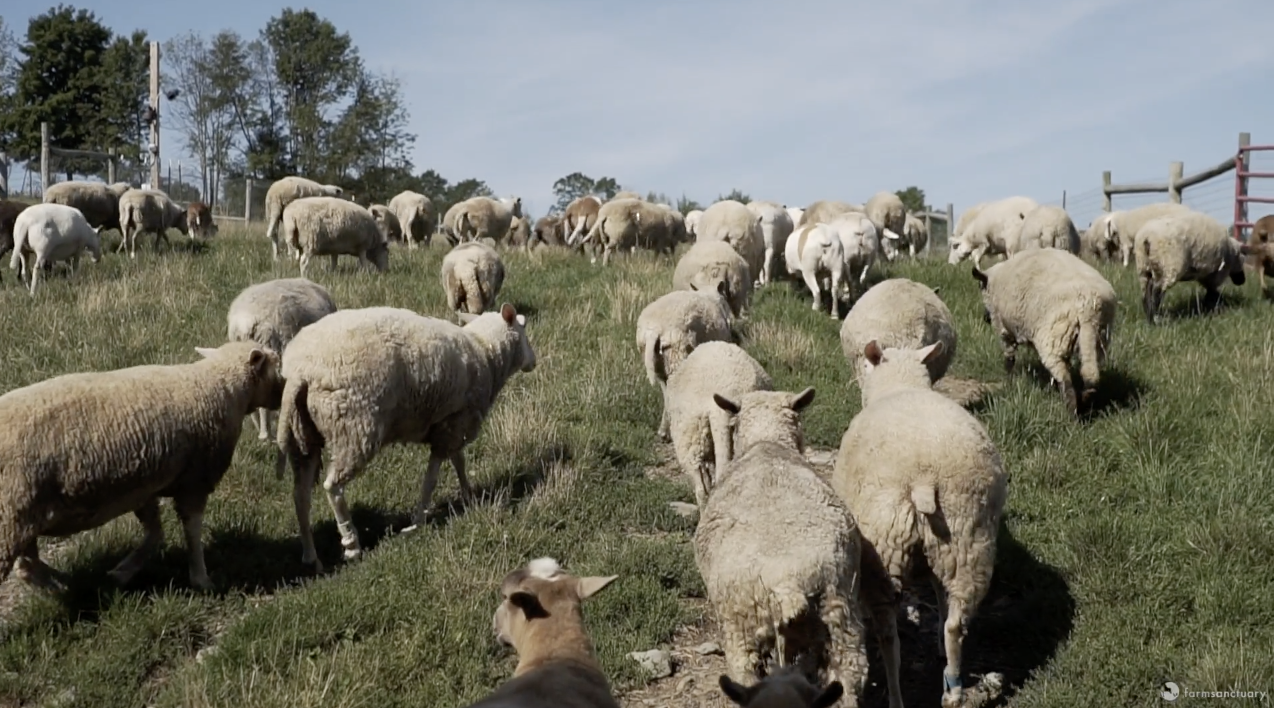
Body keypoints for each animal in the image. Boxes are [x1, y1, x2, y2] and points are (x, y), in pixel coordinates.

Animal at [0, 341, 283, 592]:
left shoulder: (145, 484)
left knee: (26, 567)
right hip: (9, 517)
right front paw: (201, 579)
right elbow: (192, 533)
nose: (283, 393)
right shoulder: (195, 479)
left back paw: (68, 585)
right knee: (25, 567)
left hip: (23, 515)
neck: (218, 385)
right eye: (276, 364)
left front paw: (122, 572)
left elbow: (155, 534)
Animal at [275, 304, 535, 567]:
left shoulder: (451, 424)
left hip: (303, 435)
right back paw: (351, 544)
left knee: (300, 496)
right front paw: (418, 521)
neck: (485, 352)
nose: (533, 362)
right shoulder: (455, 425)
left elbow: (458, 462)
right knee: (333, 487)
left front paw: (469, 496)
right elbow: (432, 478)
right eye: (524, 329)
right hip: (353, 428)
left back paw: (311, 556)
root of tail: (299, 372)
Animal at [695, 386, 870, 702]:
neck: (767, 441)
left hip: (741, 626)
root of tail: (785, 583)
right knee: (851, 677)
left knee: (744, 673)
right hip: (841, 614)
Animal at [832, 340, 1008, 708]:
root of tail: (924, 479)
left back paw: (896, 696)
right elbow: (939, 596)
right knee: (956, 622)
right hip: (967, 543)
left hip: (884, 549)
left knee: (888, 637)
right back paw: (953, 687)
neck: (901, 385)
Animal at [973, 248, 1117, 415]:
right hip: (1097, 338)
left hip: (1053, 338)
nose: (985, 318)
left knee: (1064, 377)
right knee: (1090, 373)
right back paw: (1085, 402)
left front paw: (1008, 382)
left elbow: (1009, 359)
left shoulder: (1003, 327)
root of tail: (1088, 308)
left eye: (980, 287)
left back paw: (1072, 412)